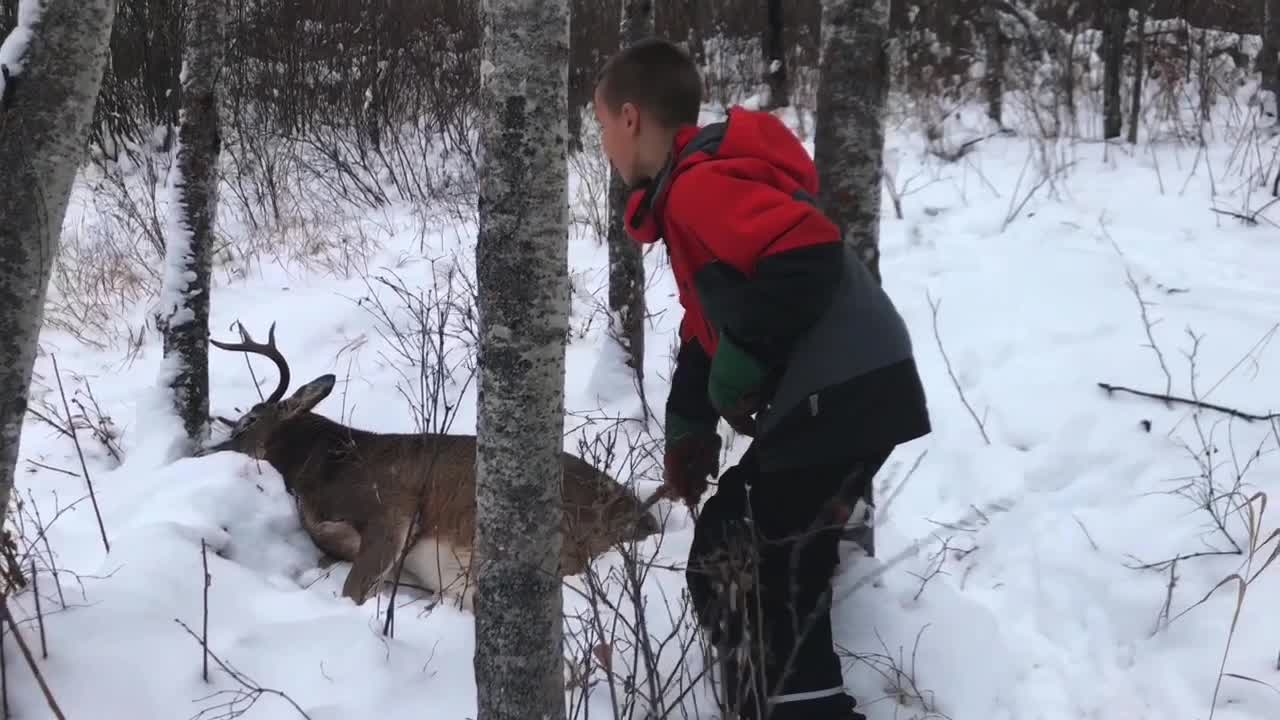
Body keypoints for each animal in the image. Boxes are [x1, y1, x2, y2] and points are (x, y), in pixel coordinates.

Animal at [197, 322, 670, 607]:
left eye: (247, 423)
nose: (204, 451)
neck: (321, 468)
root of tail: (645, 521)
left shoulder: (390, 507)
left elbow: (352, 591)